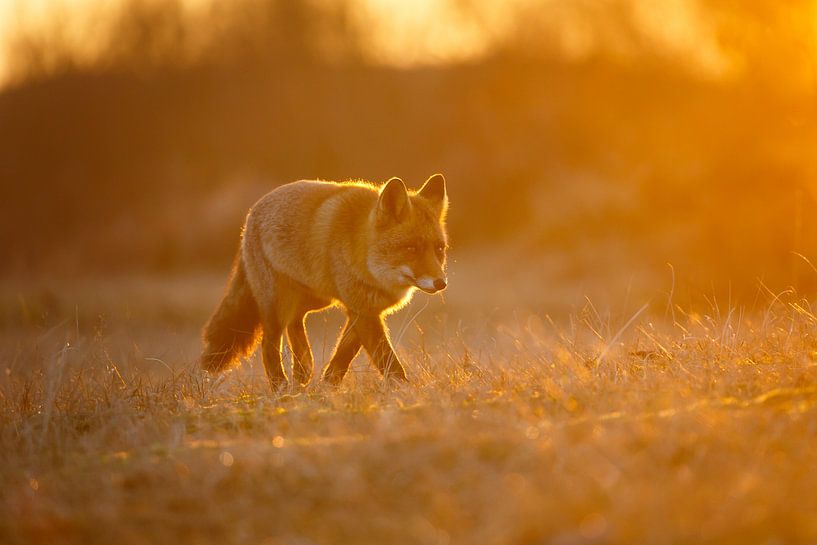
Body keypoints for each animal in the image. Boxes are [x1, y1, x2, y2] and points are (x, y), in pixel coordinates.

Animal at [200, 172, 450, 388]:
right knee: (269, 344)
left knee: (295, 322)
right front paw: (405, 390)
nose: (441, 283)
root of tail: (250, 214)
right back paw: (281, 387)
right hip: (276, 306)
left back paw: (302, 371)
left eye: (439, 249)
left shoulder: (362, 309)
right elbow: (387, 360)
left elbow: (343, 356)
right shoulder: (364, 312)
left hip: (316, 299)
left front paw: (328, 386)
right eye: (411, 249)